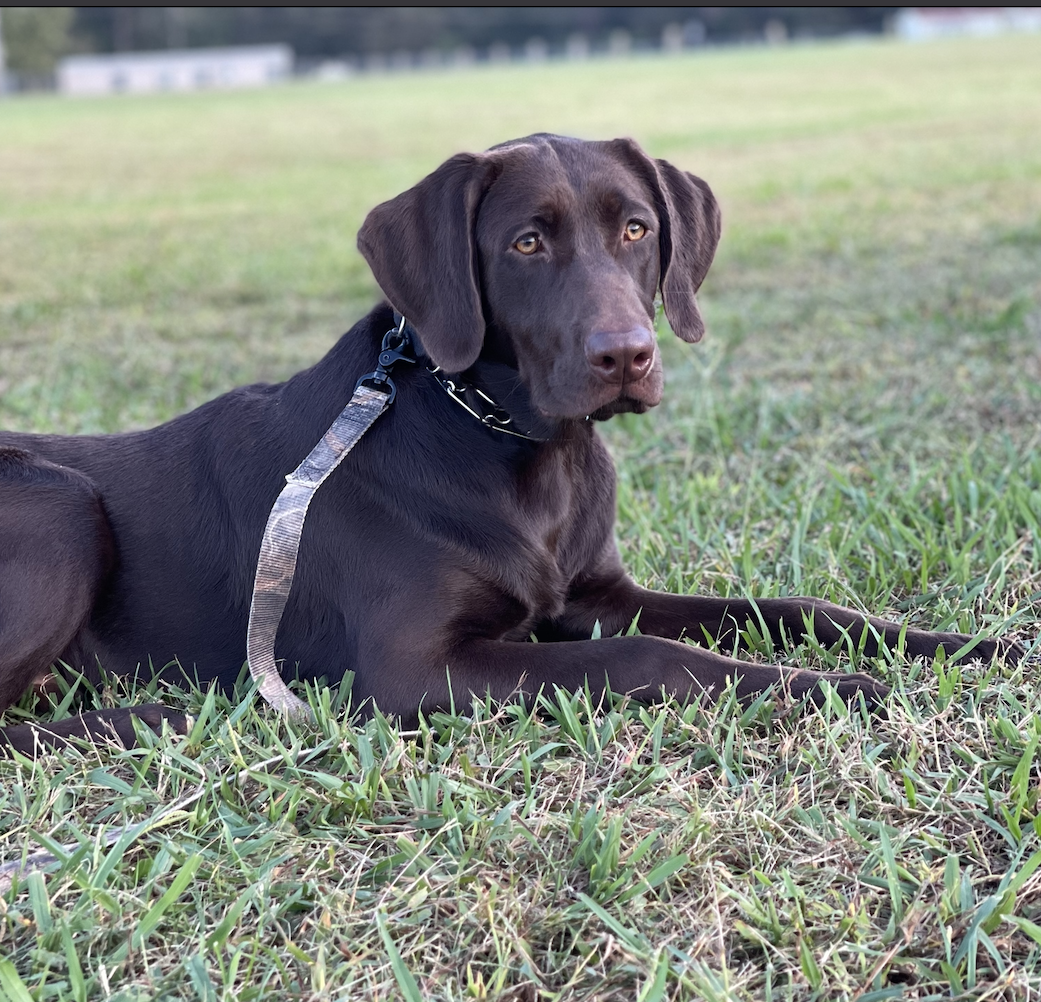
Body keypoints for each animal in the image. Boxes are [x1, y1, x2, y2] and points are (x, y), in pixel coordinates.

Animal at [0, 137, 1024, 757]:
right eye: (527, 243)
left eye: (637, 228)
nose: (626, 356)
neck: (517, 448)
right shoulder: (412, 669)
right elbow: (647, 658)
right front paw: (834, 688)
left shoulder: (594, 593)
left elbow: (797, 606)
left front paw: (968, 648)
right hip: (59, 502)